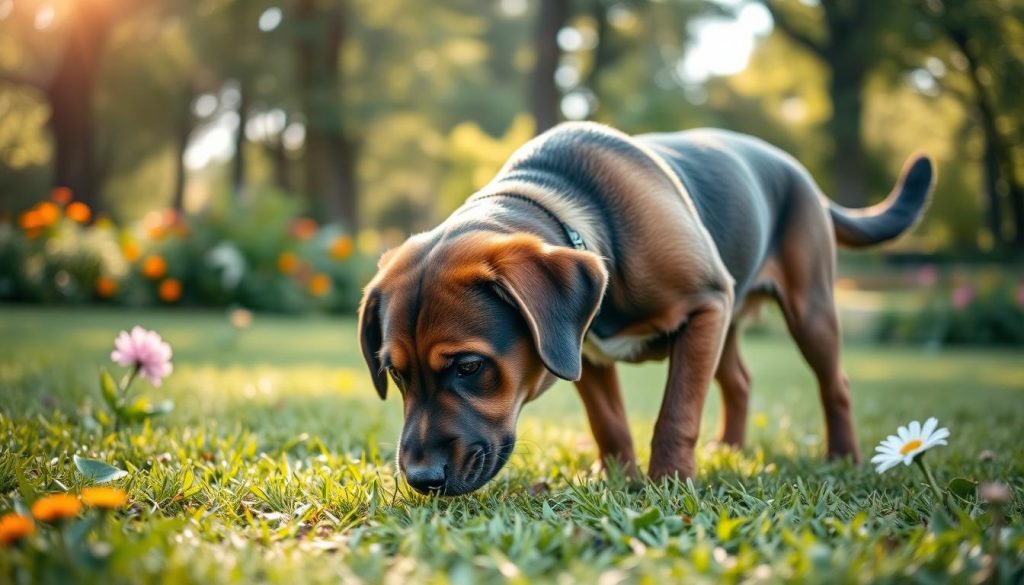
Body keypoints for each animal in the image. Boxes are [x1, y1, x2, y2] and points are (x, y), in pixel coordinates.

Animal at [360, 122, 937, 493]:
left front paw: (669, 482)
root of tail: (804, 179)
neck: (573, 209)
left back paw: (842, 457)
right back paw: (729, 450)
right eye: (397, 374)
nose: (420, 480)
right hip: (727, 324)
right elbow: (609, 423)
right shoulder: (583, 351)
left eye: (469, 367)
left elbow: (677, 411)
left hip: (806, 308)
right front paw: (619, 476)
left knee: (834, 383)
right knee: (739, 382)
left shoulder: (705, 304)